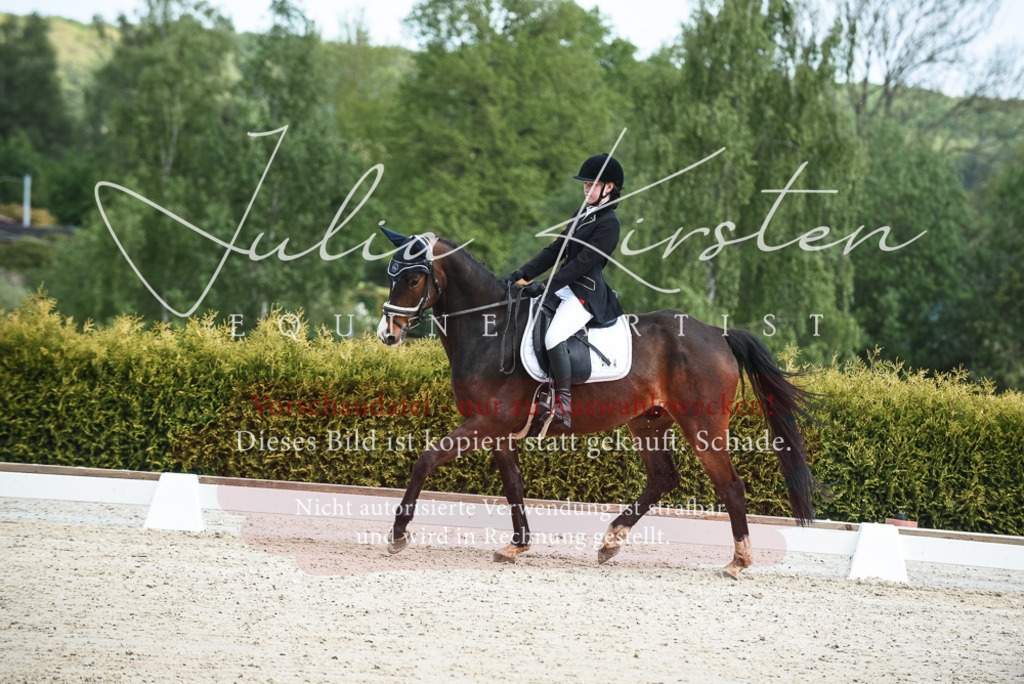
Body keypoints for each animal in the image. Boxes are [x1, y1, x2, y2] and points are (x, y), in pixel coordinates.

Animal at [375, 230, 819, 578]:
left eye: (414, 278)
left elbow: (426, 460)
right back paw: (611, 541)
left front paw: (398, 534)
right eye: (390, 275)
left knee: (729, 484)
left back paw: (737, 561)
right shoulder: (499, 432)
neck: (491, 328)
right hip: (648, 423)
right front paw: (517, 545)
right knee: (662, 478)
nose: (387, 334)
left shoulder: (486, 423)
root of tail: (716, 332)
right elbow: (513, 485)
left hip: (703, 426)